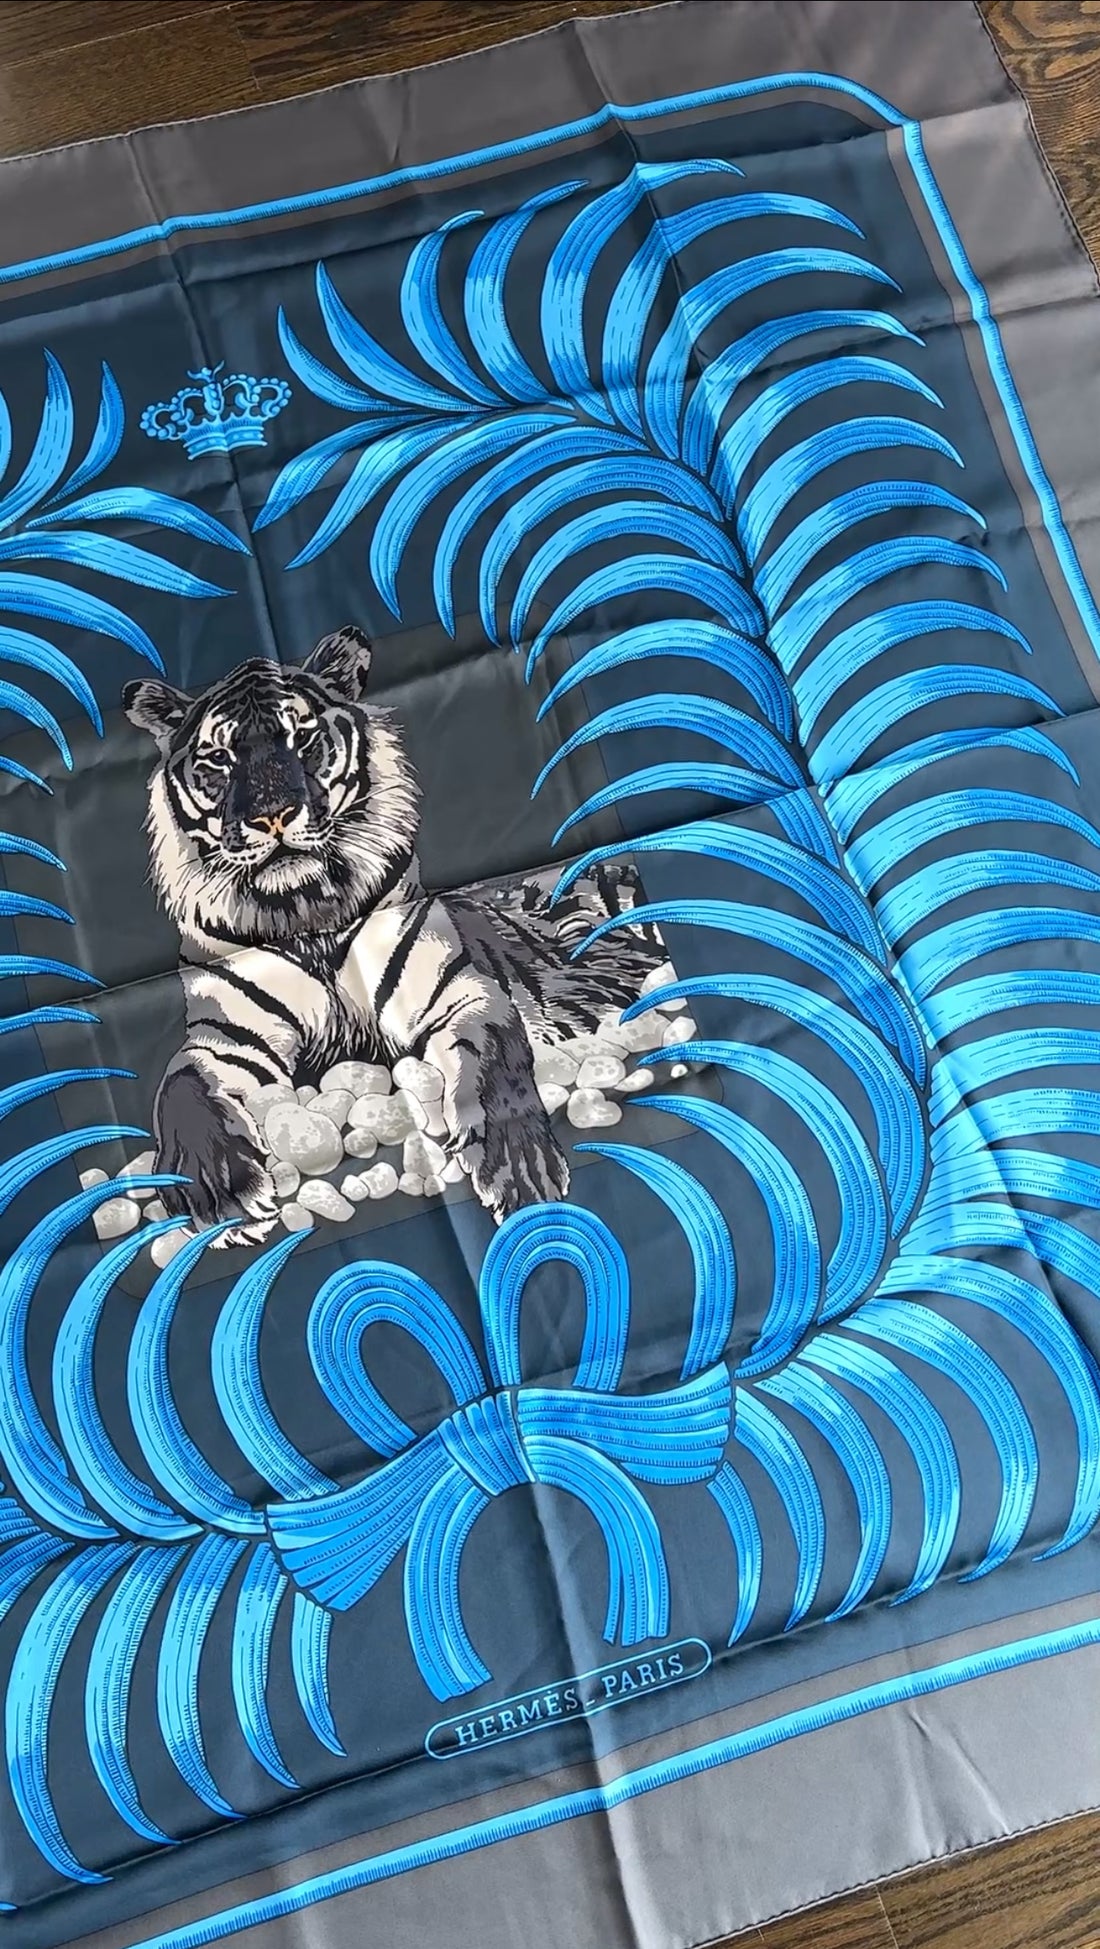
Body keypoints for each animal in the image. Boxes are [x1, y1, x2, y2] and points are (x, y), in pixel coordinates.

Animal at [123, 624, 663, 1245]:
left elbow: (494, 1067)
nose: (273, 816)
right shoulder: (224, 1037)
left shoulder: (459, 996)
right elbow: (180, 1085)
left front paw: (518, 1164)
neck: (304, 914)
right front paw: (220, 1188)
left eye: (302, 740)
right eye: (219, 758)